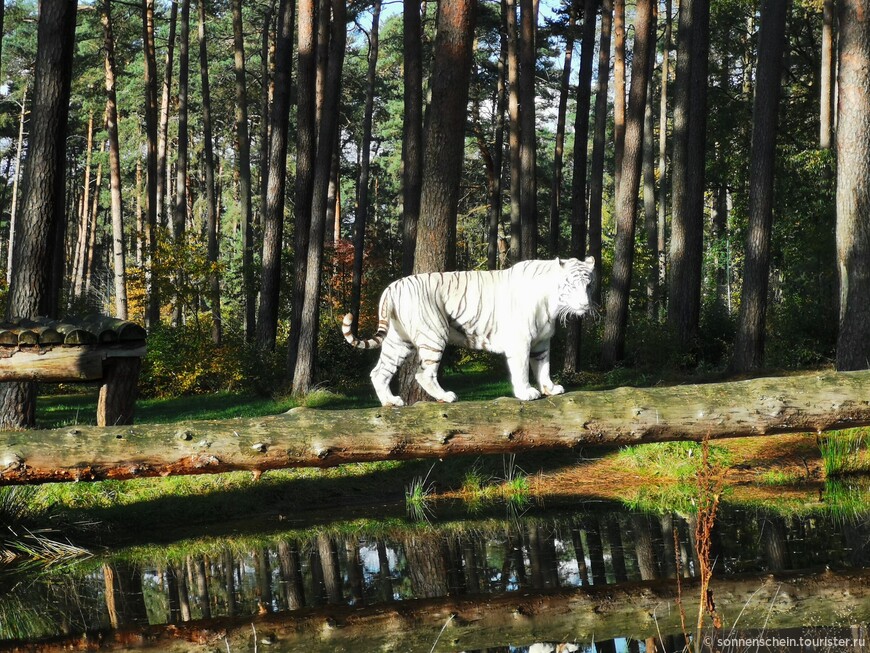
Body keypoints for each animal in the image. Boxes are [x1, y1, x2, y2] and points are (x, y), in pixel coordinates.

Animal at [342, 256, 600, 404]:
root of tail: (392, 287)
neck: (552, 304)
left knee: (379, 372)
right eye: (570, 285)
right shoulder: (521, 341)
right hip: (434, 334)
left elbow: (543, 366)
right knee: (423, 374)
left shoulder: (541, 342)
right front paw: (527, 392)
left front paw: (550, 388)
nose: (584, 305)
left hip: (398, 340)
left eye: (589, 285)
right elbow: (522, 370)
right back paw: (446, 396)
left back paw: (390, 402)